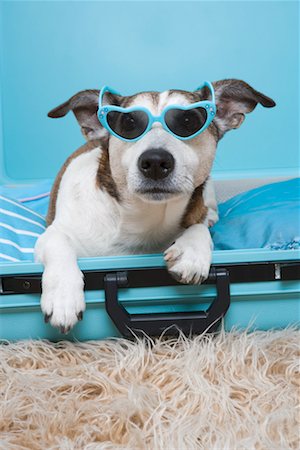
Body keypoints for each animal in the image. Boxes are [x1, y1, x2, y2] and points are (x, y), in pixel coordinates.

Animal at [34, 79, 274, 332]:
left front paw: (191, 251)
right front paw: (63, 296)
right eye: (128, 123)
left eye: (188, 121)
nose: (156, 161)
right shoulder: (53, 234)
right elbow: (59, 244)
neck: (144, 217)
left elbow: (197, 226)